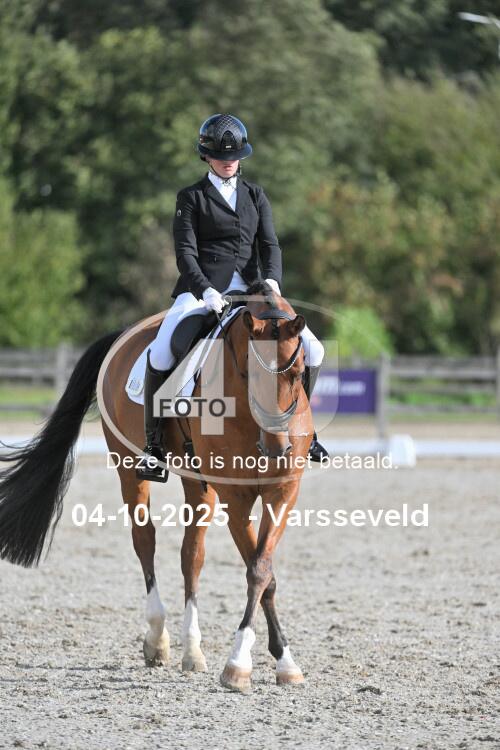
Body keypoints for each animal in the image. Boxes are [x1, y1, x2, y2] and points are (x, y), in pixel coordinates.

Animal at [0, 281, 313, 692]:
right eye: (249, 375)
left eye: (299, 373)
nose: (278, 449)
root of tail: (126, 333)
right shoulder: (237, 497)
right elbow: (257, 569)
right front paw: (238, 664)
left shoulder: (282, 492)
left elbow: (263, 571)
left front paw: (284, 662)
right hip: (128, 466)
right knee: (144, 539)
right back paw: (157, 640)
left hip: (198, 482)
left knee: (191, 554)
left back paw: (192, 651)